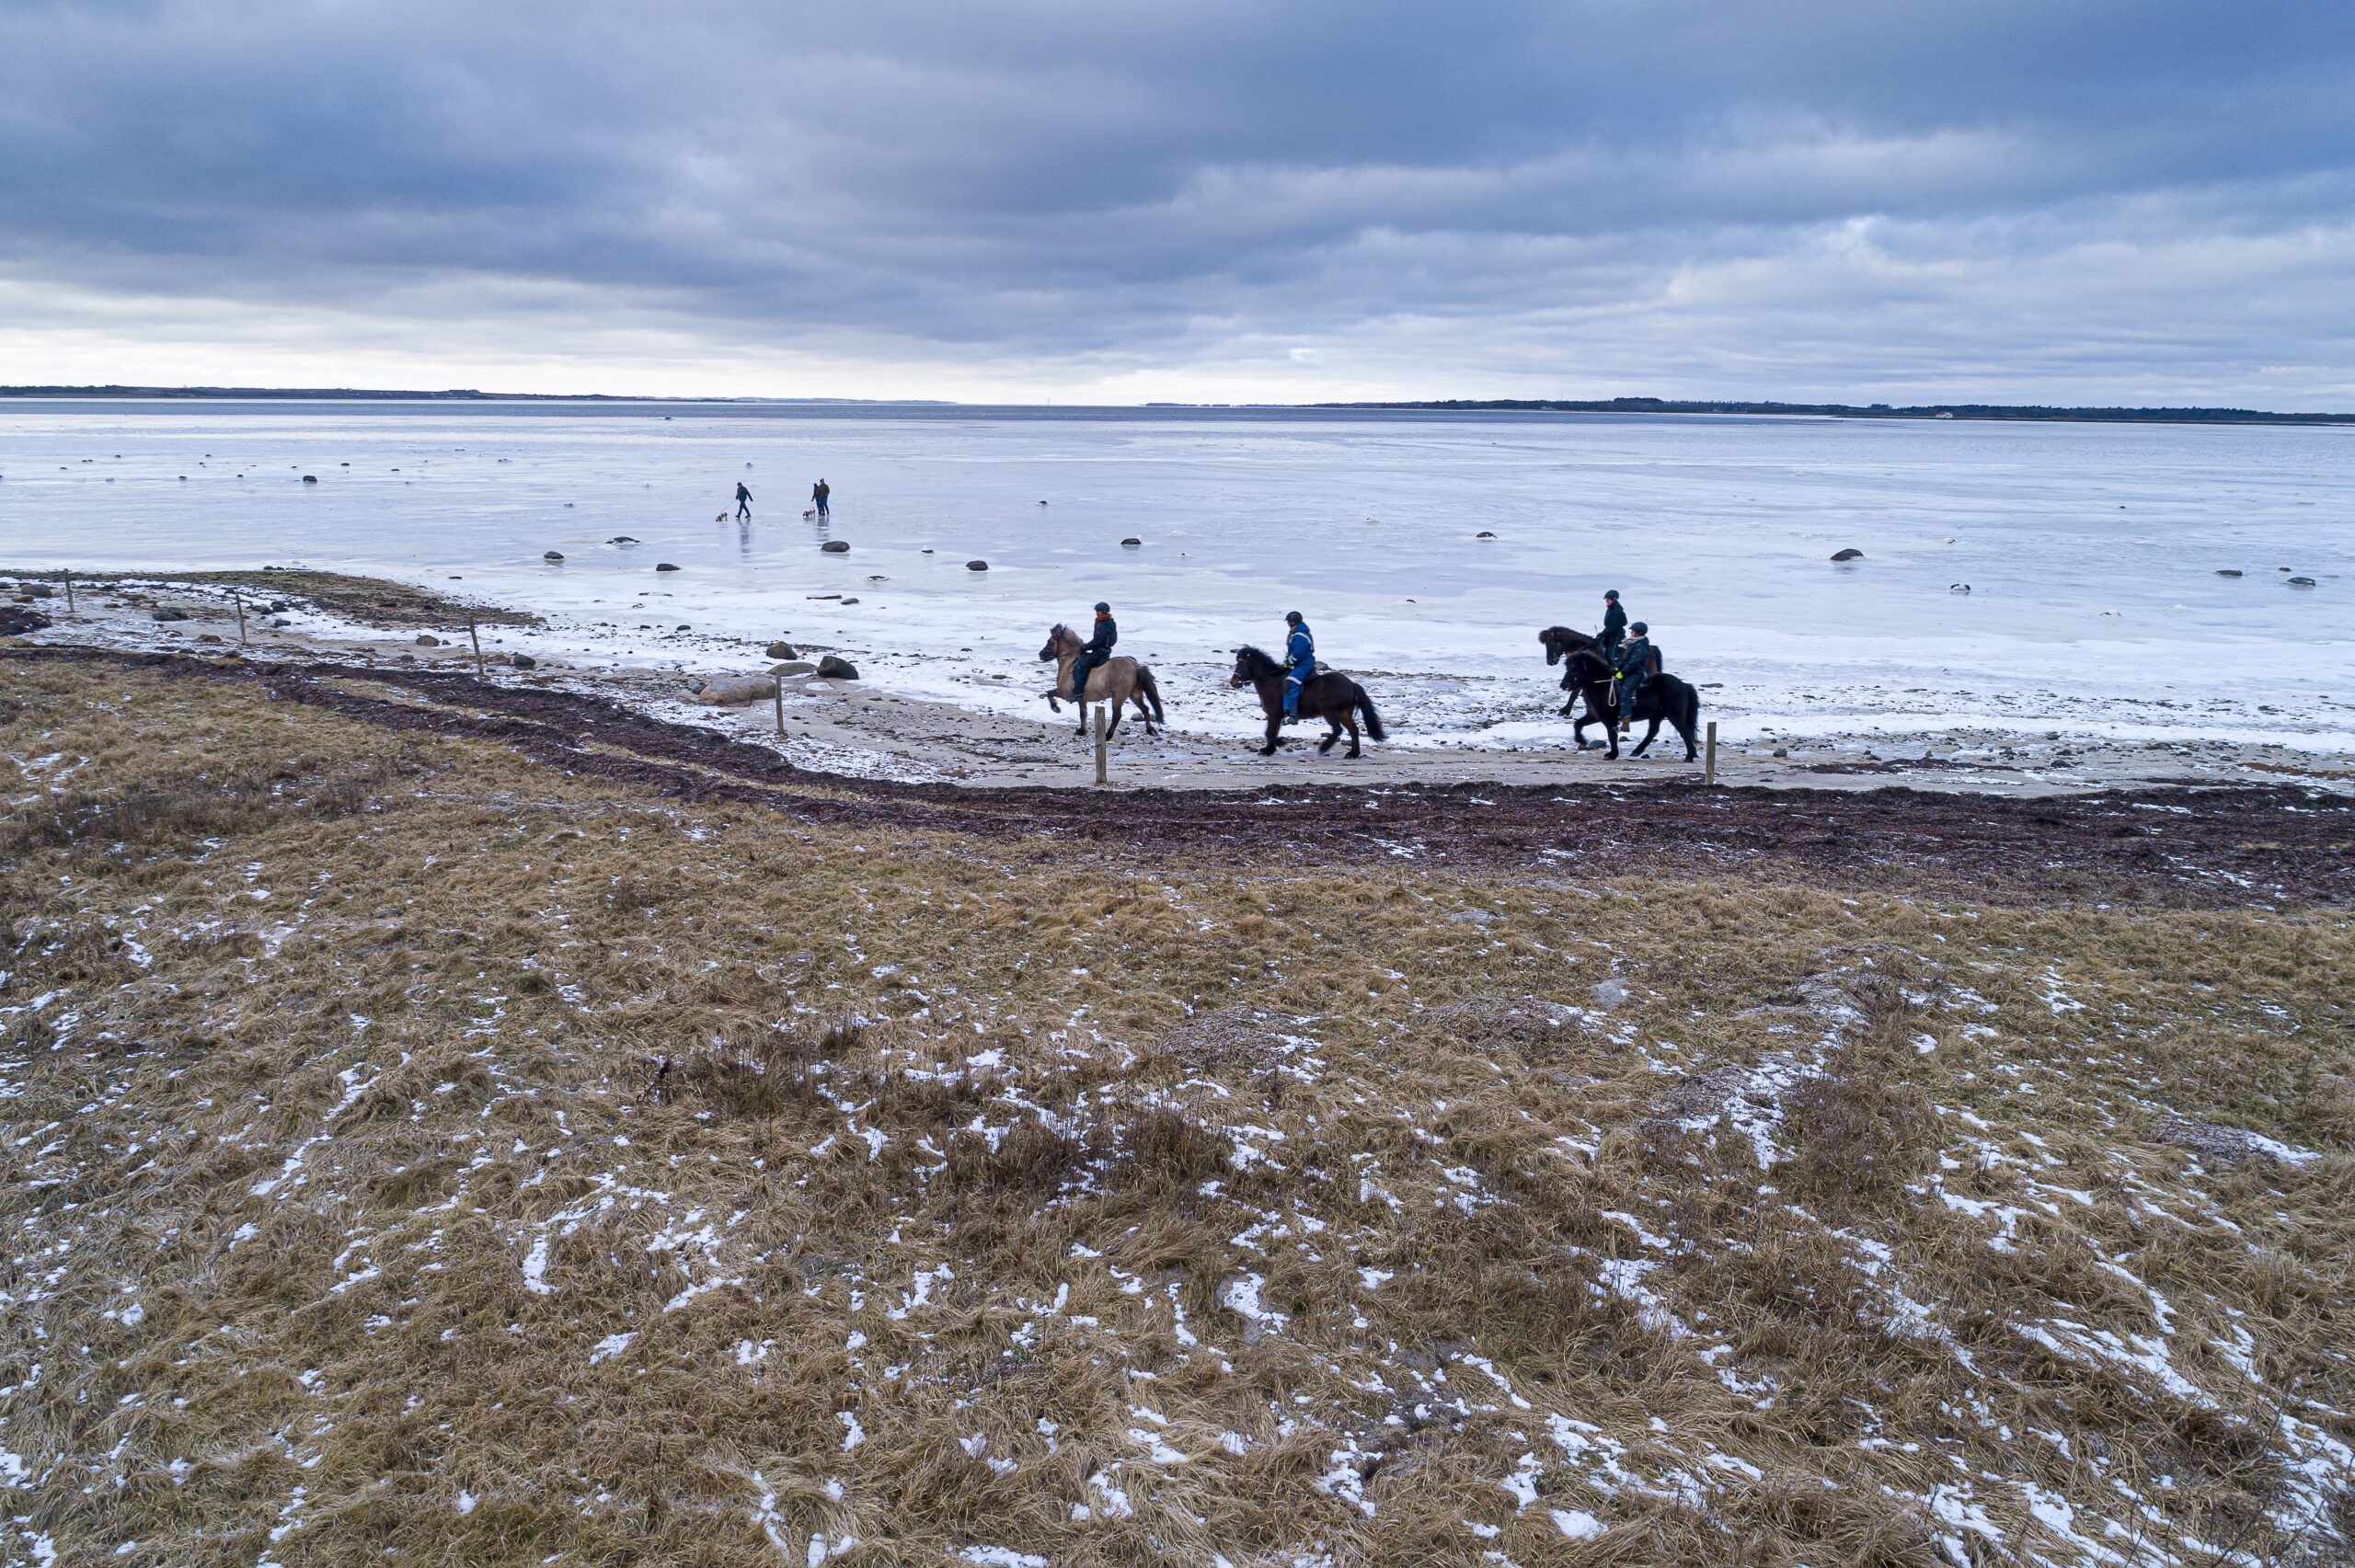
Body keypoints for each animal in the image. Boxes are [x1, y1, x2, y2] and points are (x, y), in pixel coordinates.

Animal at [1040, 621, 1167, 734]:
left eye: (1050, 641)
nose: (1041, 655)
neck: (1070, 662)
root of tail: (1135, 666)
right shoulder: (1082, 699)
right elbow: (1083, 713)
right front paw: (1082, 730)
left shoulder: (1063, 692)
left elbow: (1049, 693)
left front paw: (1056, 708)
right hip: (1135, 694)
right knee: (1145, 709)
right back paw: (1150, 730)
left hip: (1118, 696)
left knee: (1117, 715)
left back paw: (1108, 735)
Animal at [1224, 640, 1384, 753]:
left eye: (1241, 663)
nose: (1233, 682)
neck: (1270, 679)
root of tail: (1351, 684)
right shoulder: (1273, 716)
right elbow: (1270, 731)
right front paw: (1269, 749)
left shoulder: (1275, 714)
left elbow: (1270, 732)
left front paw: (1276, 745)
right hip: (1344, 713)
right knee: (1353, 730)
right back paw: (1352, 754)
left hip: (1331, 712)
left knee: (1338, 730)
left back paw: (1324, 748)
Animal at [1554, 640, 1705, 753]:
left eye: (1574, 667)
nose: (1563, 685)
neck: (1602, 685)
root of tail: (1684, 685)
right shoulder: (1595, 715)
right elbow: (1578, 724)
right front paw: (1582, 741)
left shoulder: (1609, 718)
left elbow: (1612, 735)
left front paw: (1612, 754)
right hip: (1657, 715)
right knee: (1652, 732)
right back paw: (1637, 751)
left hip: (1674, 714)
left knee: (1684, 731)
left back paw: (1690, 756)